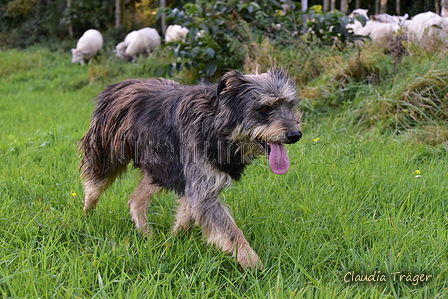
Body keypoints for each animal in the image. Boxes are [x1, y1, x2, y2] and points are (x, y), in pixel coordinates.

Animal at [79, 69, 302, 270]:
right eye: (264, 109)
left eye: (290, 105)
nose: (295, 134)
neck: (216, 126)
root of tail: (118, 85)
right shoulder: (202, 189)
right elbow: (232, 232)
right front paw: (254, 265)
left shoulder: (196, 183)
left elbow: (187, 216)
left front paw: (172, 241)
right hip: (105, 154)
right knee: (93, 187)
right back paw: (87, 217)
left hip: (160, 168)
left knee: (136, 200)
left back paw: (147, 234)